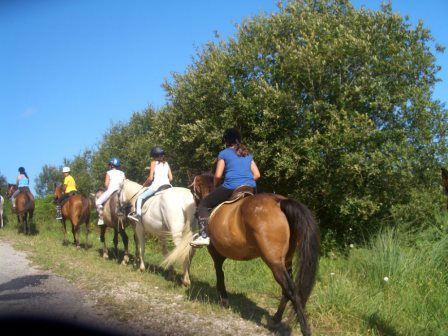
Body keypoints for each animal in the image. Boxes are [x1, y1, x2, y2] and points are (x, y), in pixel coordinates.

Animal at [164, 176, 318, 336]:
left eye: (193, 190)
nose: (194, 211)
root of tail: (280, 202)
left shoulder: (215, 253)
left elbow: (220, 273)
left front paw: (224, 299)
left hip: (274, 262)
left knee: (291, 289)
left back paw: (304, 328)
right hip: (286, 260)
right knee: (287, 290)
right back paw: (275, 319)